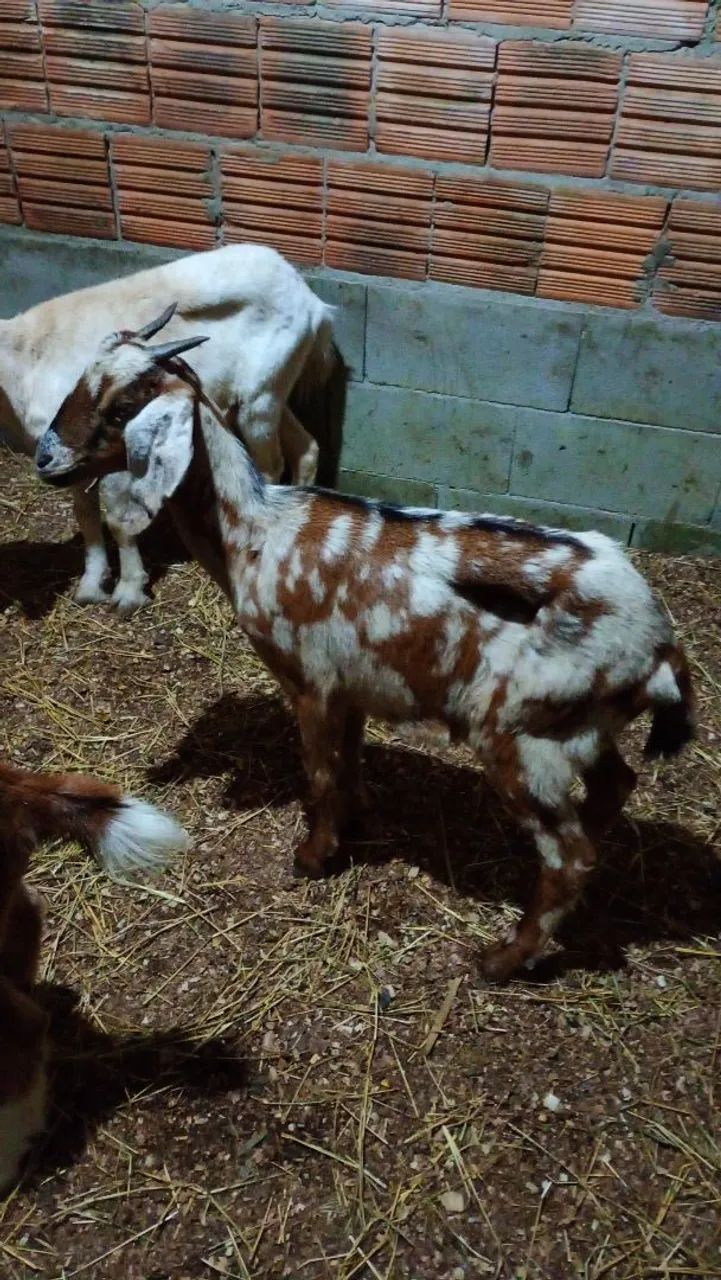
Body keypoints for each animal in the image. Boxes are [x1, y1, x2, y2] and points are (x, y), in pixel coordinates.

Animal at [1, 243, 343, 612]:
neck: (24, 358)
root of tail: (313, 303)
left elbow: (118, 517)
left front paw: (128, 592)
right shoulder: (70, 456)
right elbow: (86, 514)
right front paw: (91, 586)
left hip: (261, 401)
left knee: (269, 467)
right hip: (272, 392)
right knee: (306, 447)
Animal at [36, 323, 696, 982]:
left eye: (121, 406)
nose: (45, 458)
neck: (253, 531)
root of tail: (662, 648)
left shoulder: (310, 681)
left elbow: (320, 772)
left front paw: (312, 857)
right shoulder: (353, 684)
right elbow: (349, 763)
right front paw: (351, 826)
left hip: (523, 737)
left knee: (570, 856)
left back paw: (502, 958)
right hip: (577, 730)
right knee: (616, 785)